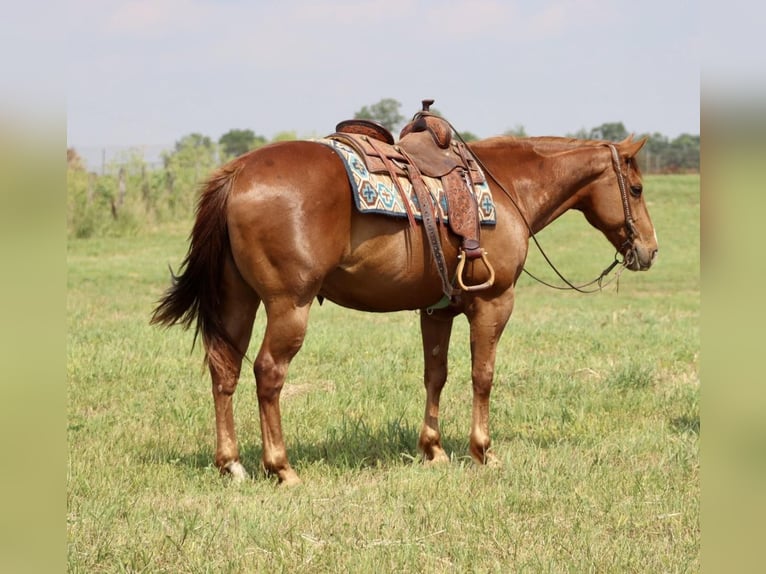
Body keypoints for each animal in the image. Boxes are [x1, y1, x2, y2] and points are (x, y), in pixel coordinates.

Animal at [152, 127, 660, 486]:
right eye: (636, 189)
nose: (650, 250)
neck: (508, 189)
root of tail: (236, 173)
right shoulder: (493, 304)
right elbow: (483, 376)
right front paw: (484, 451)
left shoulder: (436, 309)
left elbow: (435, 374)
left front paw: (433, 450)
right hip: (288, 306)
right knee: (268, 373)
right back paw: (281, 467)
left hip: (239, 300)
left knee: (225, 369)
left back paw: (231, 464)